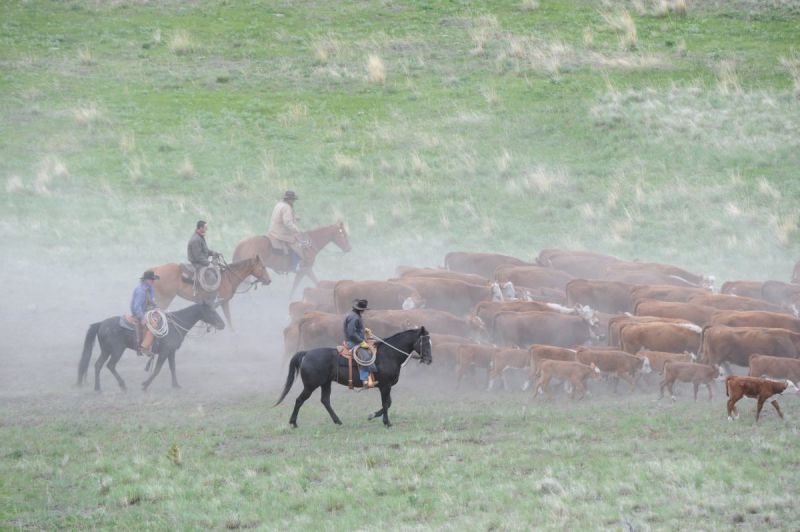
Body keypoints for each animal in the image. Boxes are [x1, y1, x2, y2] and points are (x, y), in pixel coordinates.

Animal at [78, 302, 226, 392]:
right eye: (211, 312)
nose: (222, 325)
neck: (173, 326)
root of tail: (101, 323)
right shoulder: (164, 352)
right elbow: (157, 369)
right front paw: (145, 385)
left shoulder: (171, 352)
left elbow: (173, 368)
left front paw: (176, 385)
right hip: (116, 351)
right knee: (110, 365)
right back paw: (122, 385)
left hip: (106, 351)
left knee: (98, 365)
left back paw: (98, 389)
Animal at [275, 327, 432, 428]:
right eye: (424, 342)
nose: (429, 360)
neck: (389, 354)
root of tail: (307, 353)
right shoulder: (385, 386)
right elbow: (386, 403)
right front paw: (386, 422)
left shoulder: (385, 387)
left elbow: (388, 403)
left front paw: (372, 415)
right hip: (310, 386)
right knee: (299, 400)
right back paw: (293, 422)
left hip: (325, 383)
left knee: (325, 401)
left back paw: (337, 421)